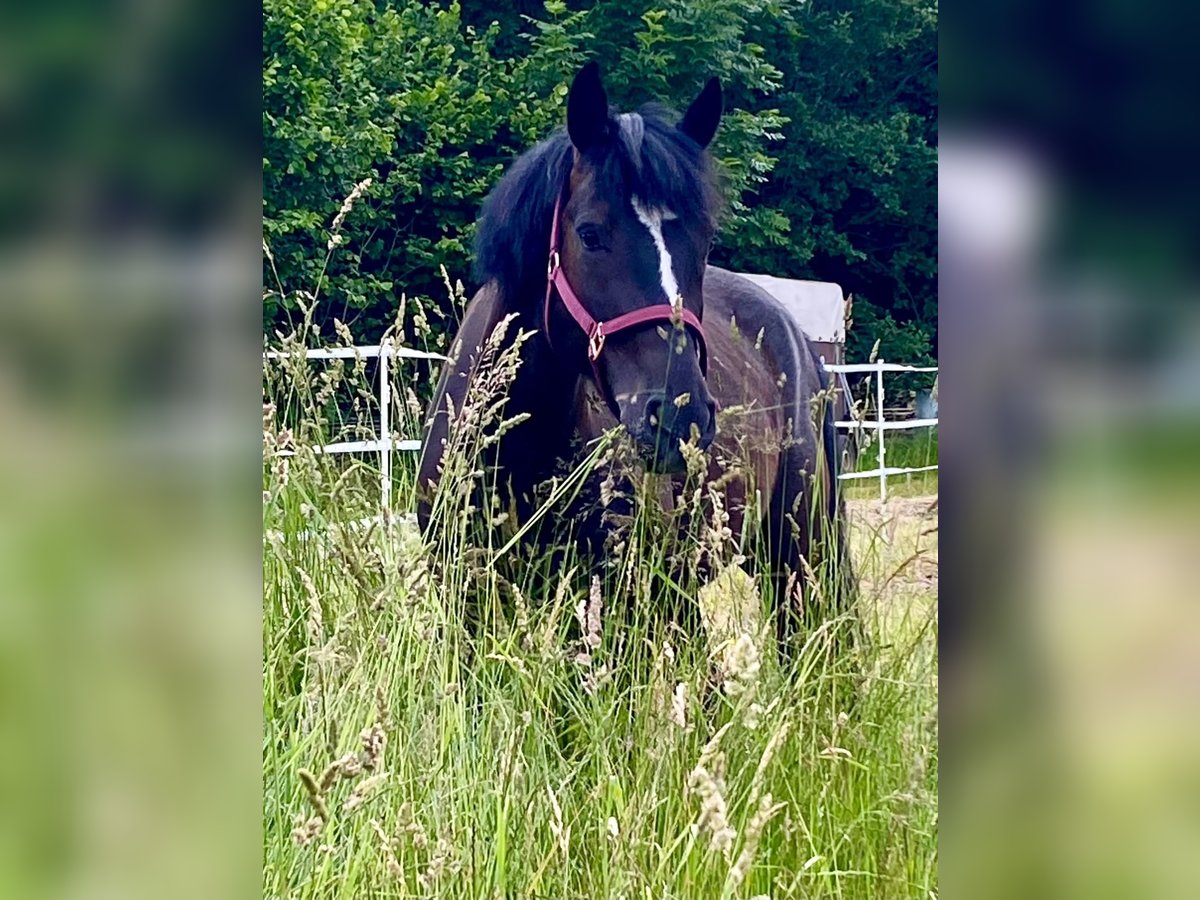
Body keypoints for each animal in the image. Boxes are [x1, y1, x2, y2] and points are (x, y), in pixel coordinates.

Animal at [417, 65, 859, 648]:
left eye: (705, 240)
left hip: (794, 558)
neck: (517, 445)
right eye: (589, 233)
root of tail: (799, 339)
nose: (678, 416)